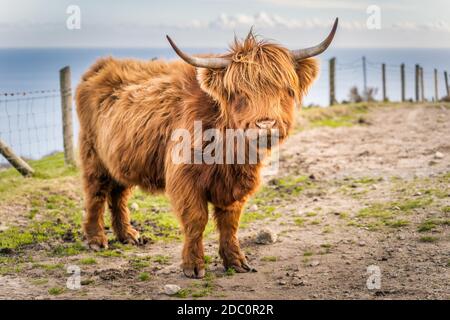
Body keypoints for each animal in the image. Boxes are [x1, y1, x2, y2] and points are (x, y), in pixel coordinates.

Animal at [76, 19, 338, 278]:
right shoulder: (185, 178)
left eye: (286, 90)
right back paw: (96, 239)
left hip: (122, 158)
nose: (266, 125)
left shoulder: (235, 184)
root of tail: (102, 65)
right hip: (93, 155)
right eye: (239, 93)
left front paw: (236, 261)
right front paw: (193, 266)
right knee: (96, 193)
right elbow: (196, 219)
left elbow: (230, 222)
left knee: (119, 193)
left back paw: (128, 235)